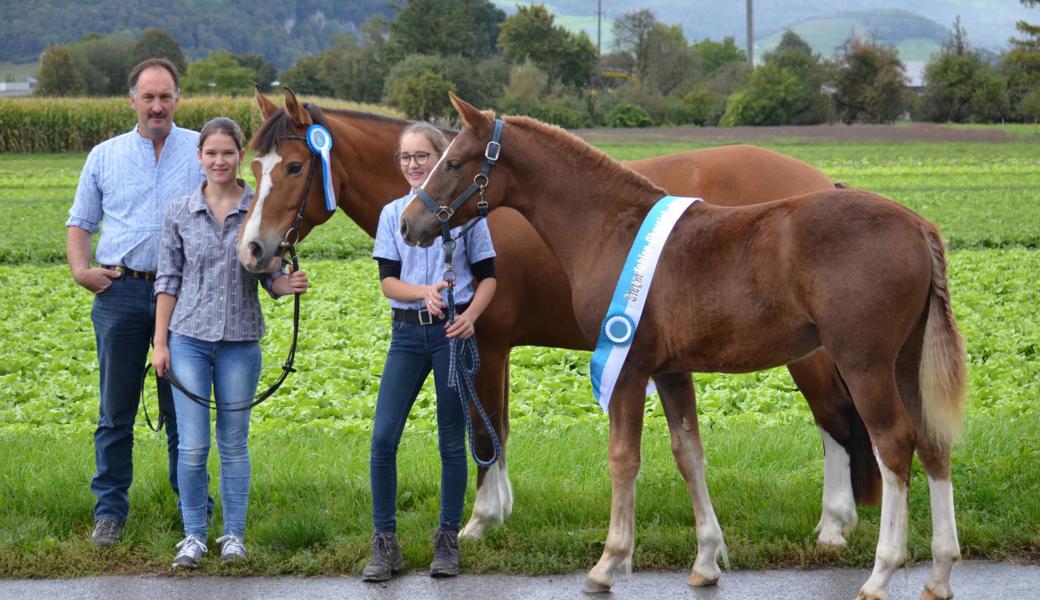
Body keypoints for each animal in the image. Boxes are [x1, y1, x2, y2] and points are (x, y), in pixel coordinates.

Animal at [238, 88, 877, 557]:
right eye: (253, 167)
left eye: (293, 166)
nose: (253, 250)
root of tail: (822, 183)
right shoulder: (489, 348)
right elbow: (493, 429)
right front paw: (496, 512)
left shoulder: (486, 342)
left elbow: (483, 432)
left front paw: (480, 521)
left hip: (808, 353)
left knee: (834, 419)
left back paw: (833, 526)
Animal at [397, 94, 965, 598]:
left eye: (454, 161)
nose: (408, 223)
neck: (610, 228)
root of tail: (917, 224)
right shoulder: (670, 370)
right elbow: (688, 453)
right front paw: (707, 561)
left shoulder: (628, 368)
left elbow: (623, 458)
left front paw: (609, 562)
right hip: (905, 363)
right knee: (932, 443)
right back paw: (938, 574)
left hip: (865, 364)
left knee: (894, 444)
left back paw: (881, 572)